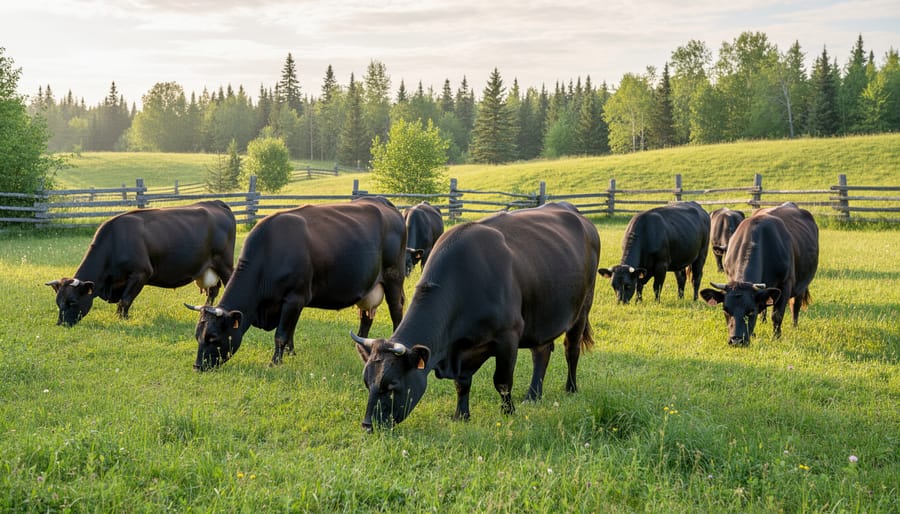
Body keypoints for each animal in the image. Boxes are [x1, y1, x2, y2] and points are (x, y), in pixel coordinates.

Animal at [46, 200, 235, 327]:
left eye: (72, 302)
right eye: (58, 302)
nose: (61, 324)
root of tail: (216, 203)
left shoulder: (141, 273)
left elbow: (125, 300)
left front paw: (122, 320)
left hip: (225, 265)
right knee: (212, 291)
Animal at [186, 197, 407, 371]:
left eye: (213, 337)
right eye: (197, 335)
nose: (197, 366)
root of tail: (383, 202)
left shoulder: (294, 298)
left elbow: (282, 333)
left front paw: (275, 362)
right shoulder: (293, 302)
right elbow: (291, 329)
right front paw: (291, 355)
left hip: (394, 278)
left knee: (397, 311)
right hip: (369, 288)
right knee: (366, 318)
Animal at [349, 202, 600, 431]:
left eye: (393, 385)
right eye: (367, 383)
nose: (367, 425)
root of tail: (580, 218)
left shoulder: (508, 337)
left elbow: (502, 381)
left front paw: (508, 412)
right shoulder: (461, 350)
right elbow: (462, 384)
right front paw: (461, 415)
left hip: (582, 307)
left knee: (571, 349)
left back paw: (571, 388)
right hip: (542, 317)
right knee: (542, 352)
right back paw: (532, 396)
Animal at [700, 202, 819, 345]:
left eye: (751, 311)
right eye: (725, 310)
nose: (736, 340)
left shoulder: (785, 284)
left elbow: (777, 314)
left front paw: (776, 337)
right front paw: (754, 333)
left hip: (802, 284)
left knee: (796, 305)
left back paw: (794, 326)